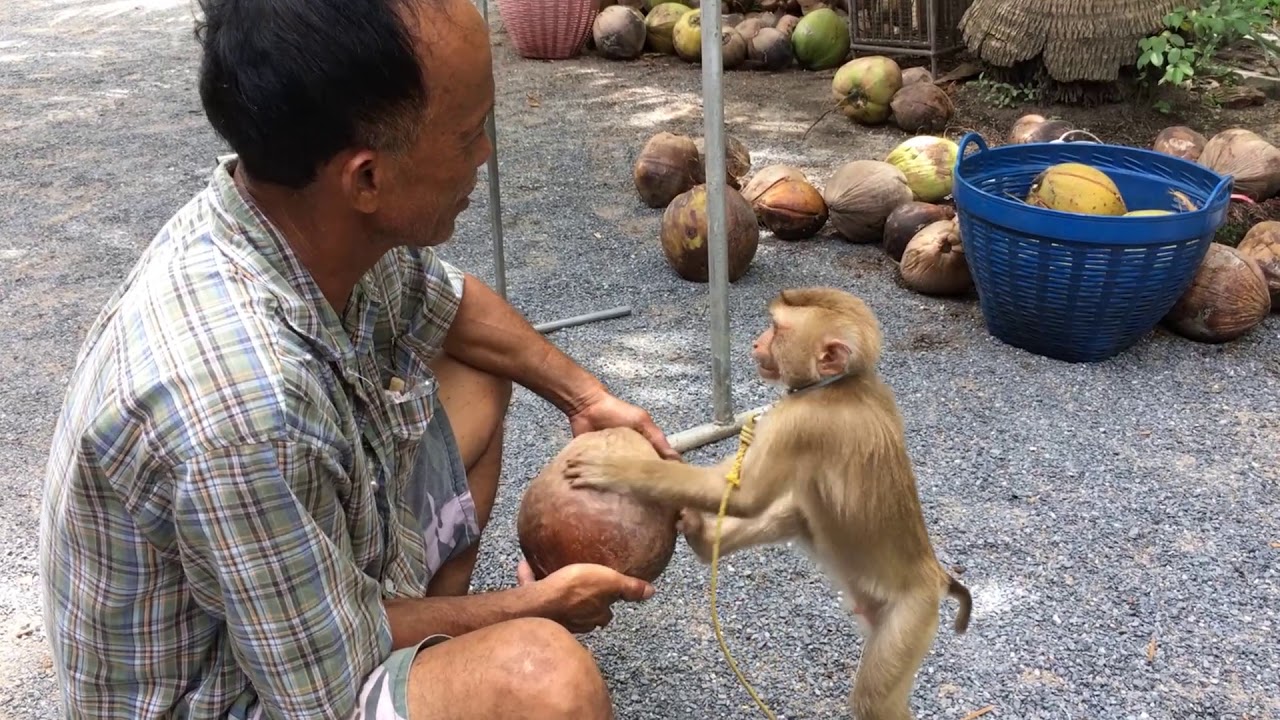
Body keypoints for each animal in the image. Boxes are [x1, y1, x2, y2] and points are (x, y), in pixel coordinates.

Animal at [563, 287, 972, 720]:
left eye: (776, 328)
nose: (756, 342)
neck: (834, 385)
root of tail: (937, 577)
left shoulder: (800, 423)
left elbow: (746, 497)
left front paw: (617, 469)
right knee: (799, 515)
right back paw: (705, 541)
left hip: (910, 618)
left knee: (874, 700)